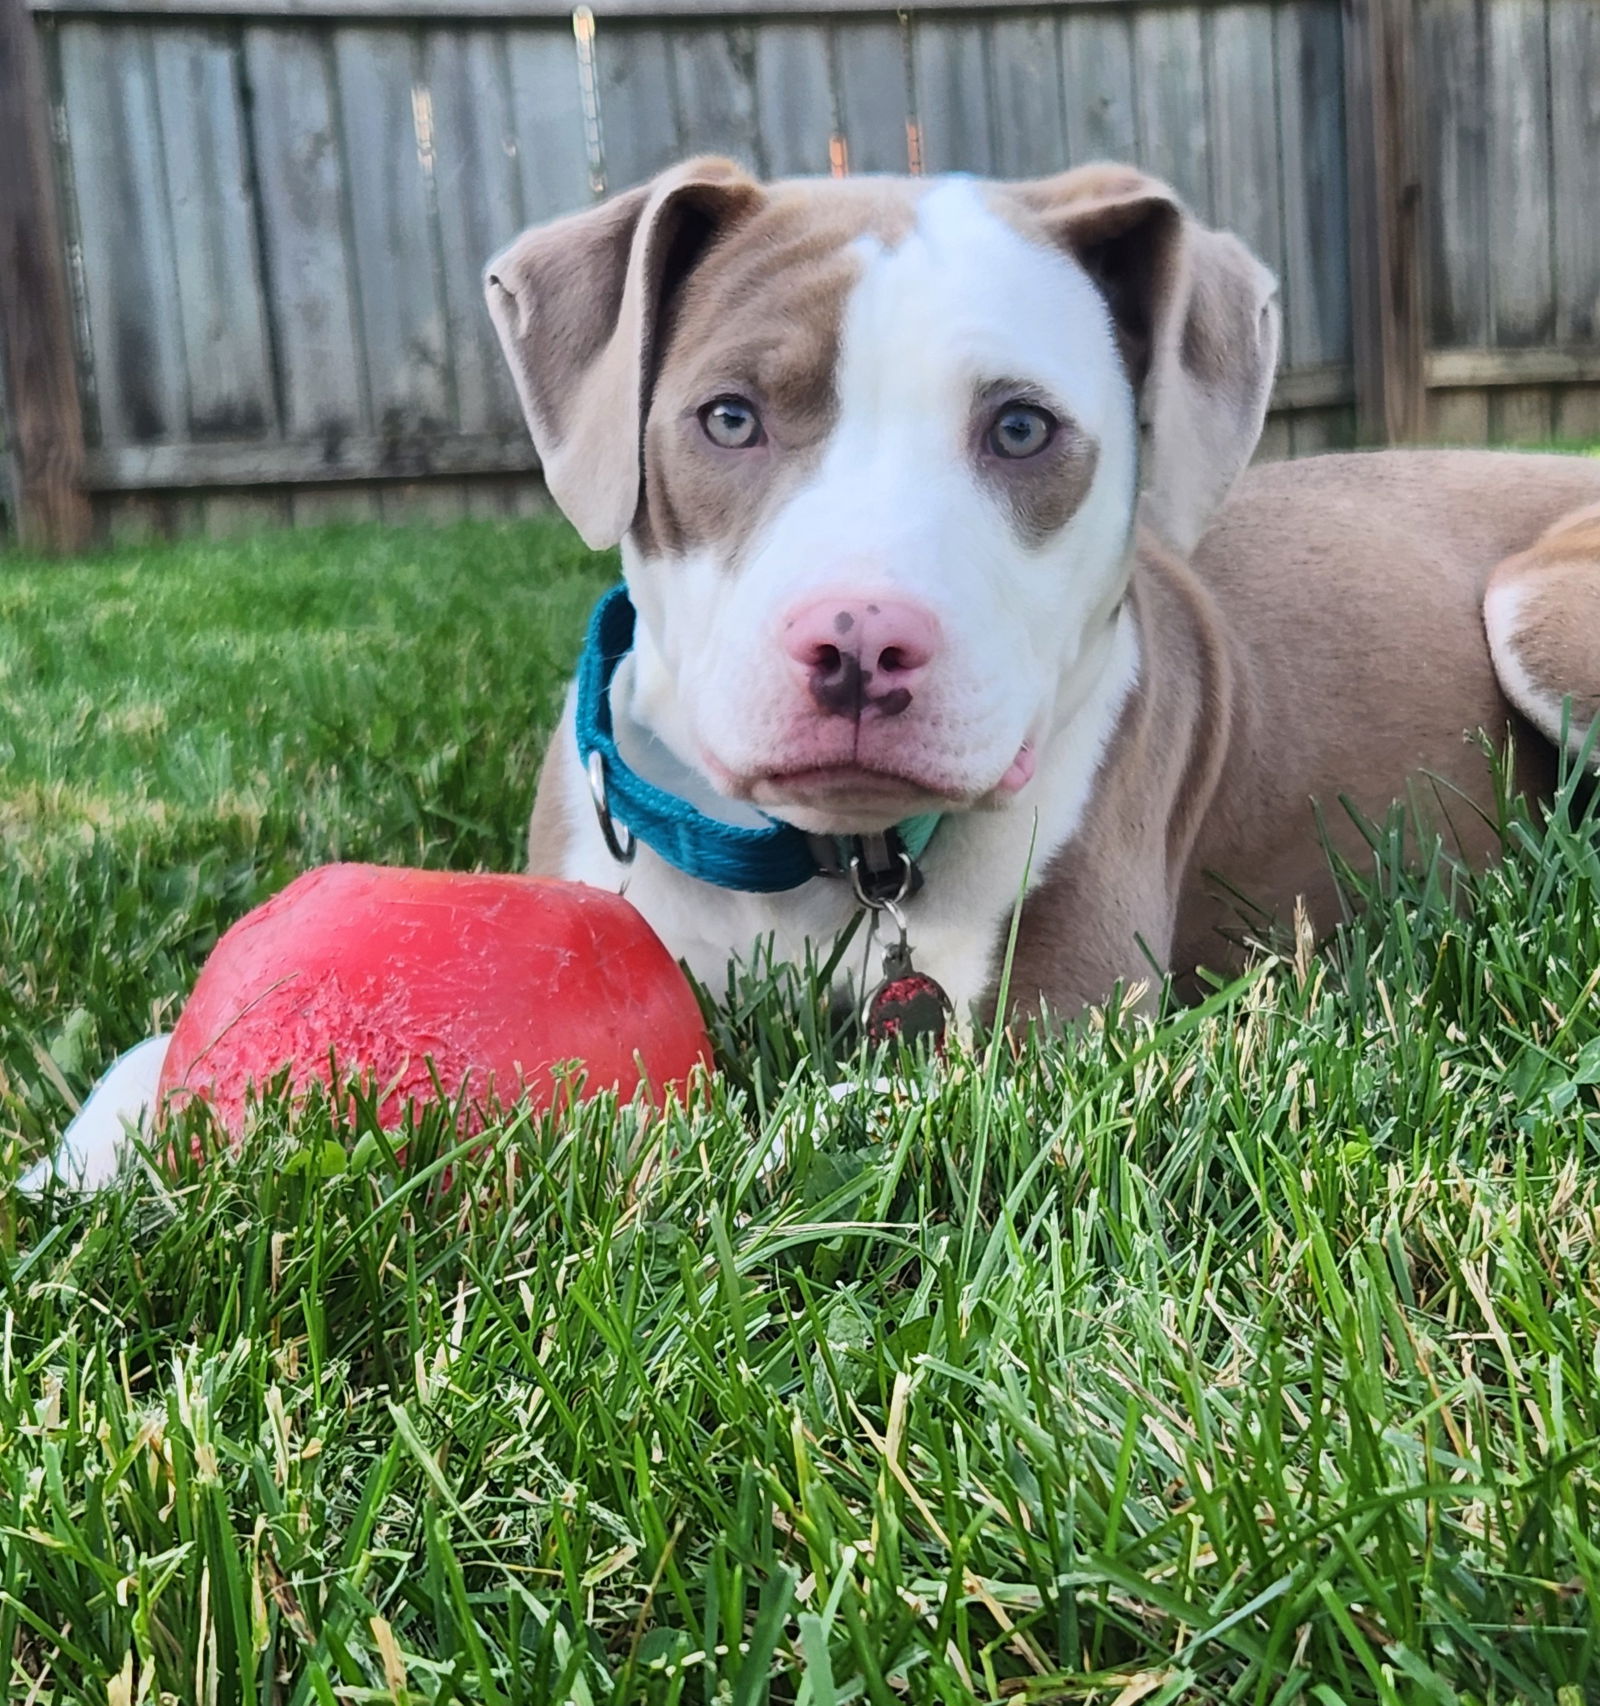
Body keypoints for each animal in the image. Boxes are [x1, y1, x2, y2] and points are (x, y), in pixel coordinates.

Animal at [484, 156, 1596, 1023]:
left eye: (1020, 428)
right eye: (728, 417)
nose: (858, 644)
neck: (832, 867)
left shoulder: (1057, 1023)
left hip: (1532, 606)